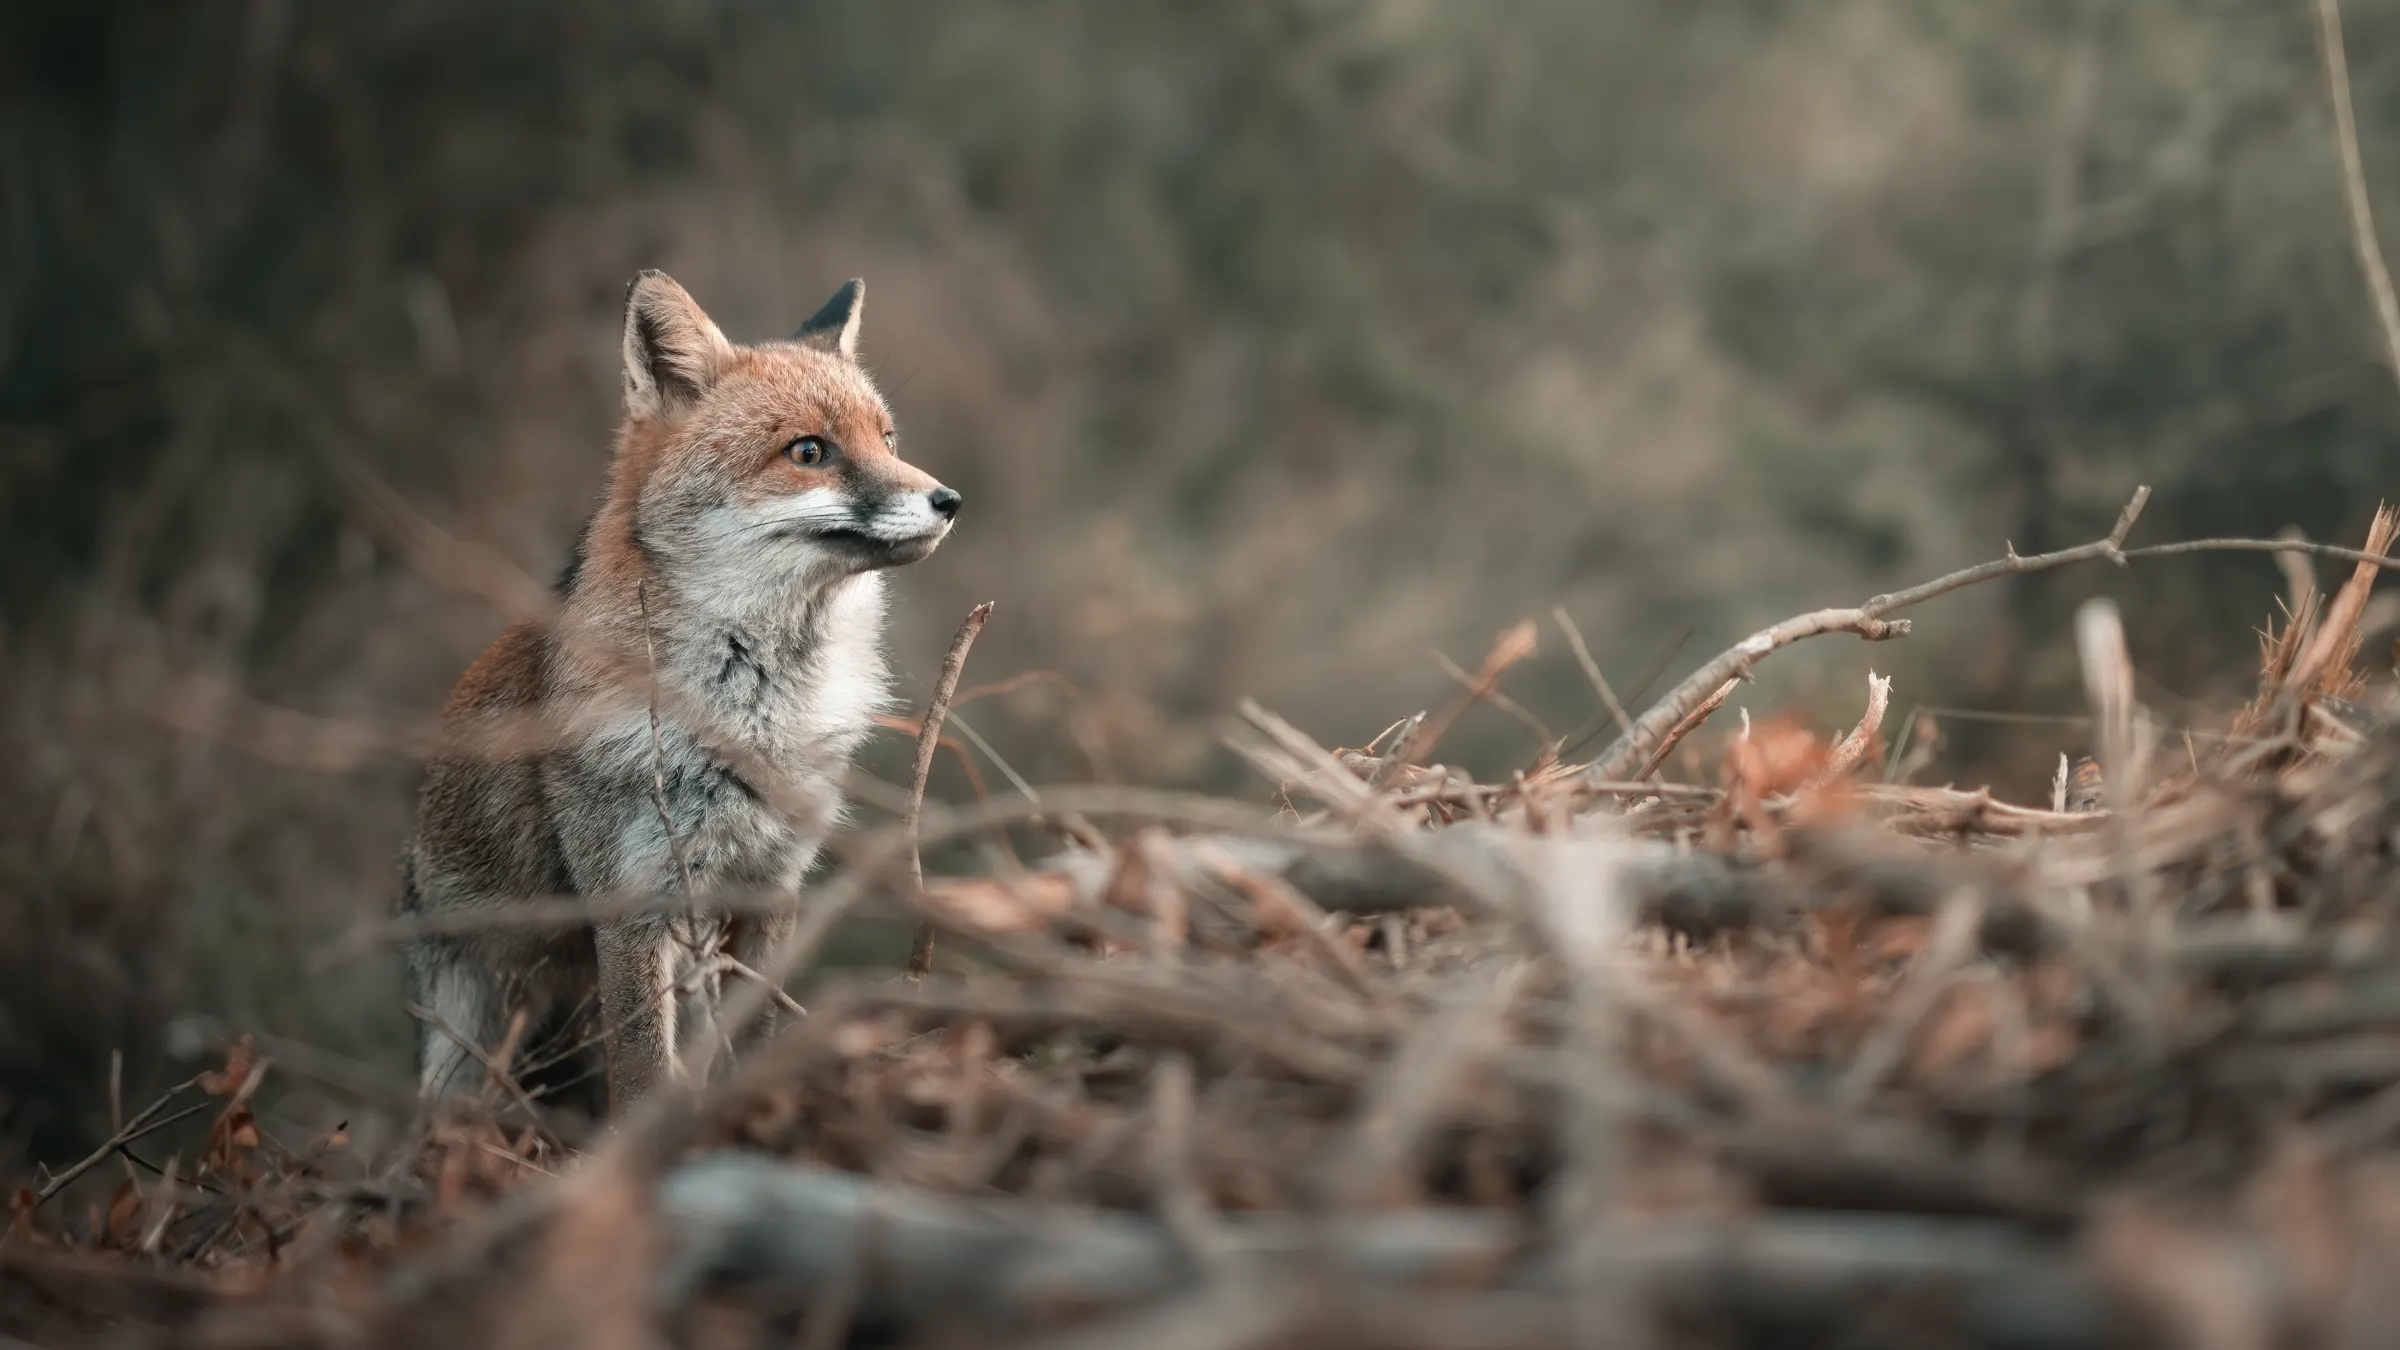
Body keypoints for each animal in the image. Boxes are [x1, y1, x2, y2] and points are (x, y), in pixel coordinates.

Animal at [396, 270, 961, 1118]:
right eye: (809, 452)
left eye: (888, 440)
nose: (949, 500)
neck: (751, 718)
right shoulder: (630, 903)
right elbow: (642, 1077)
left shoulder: (771, 886)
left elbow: (751, 1043)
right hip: (471, 1030)